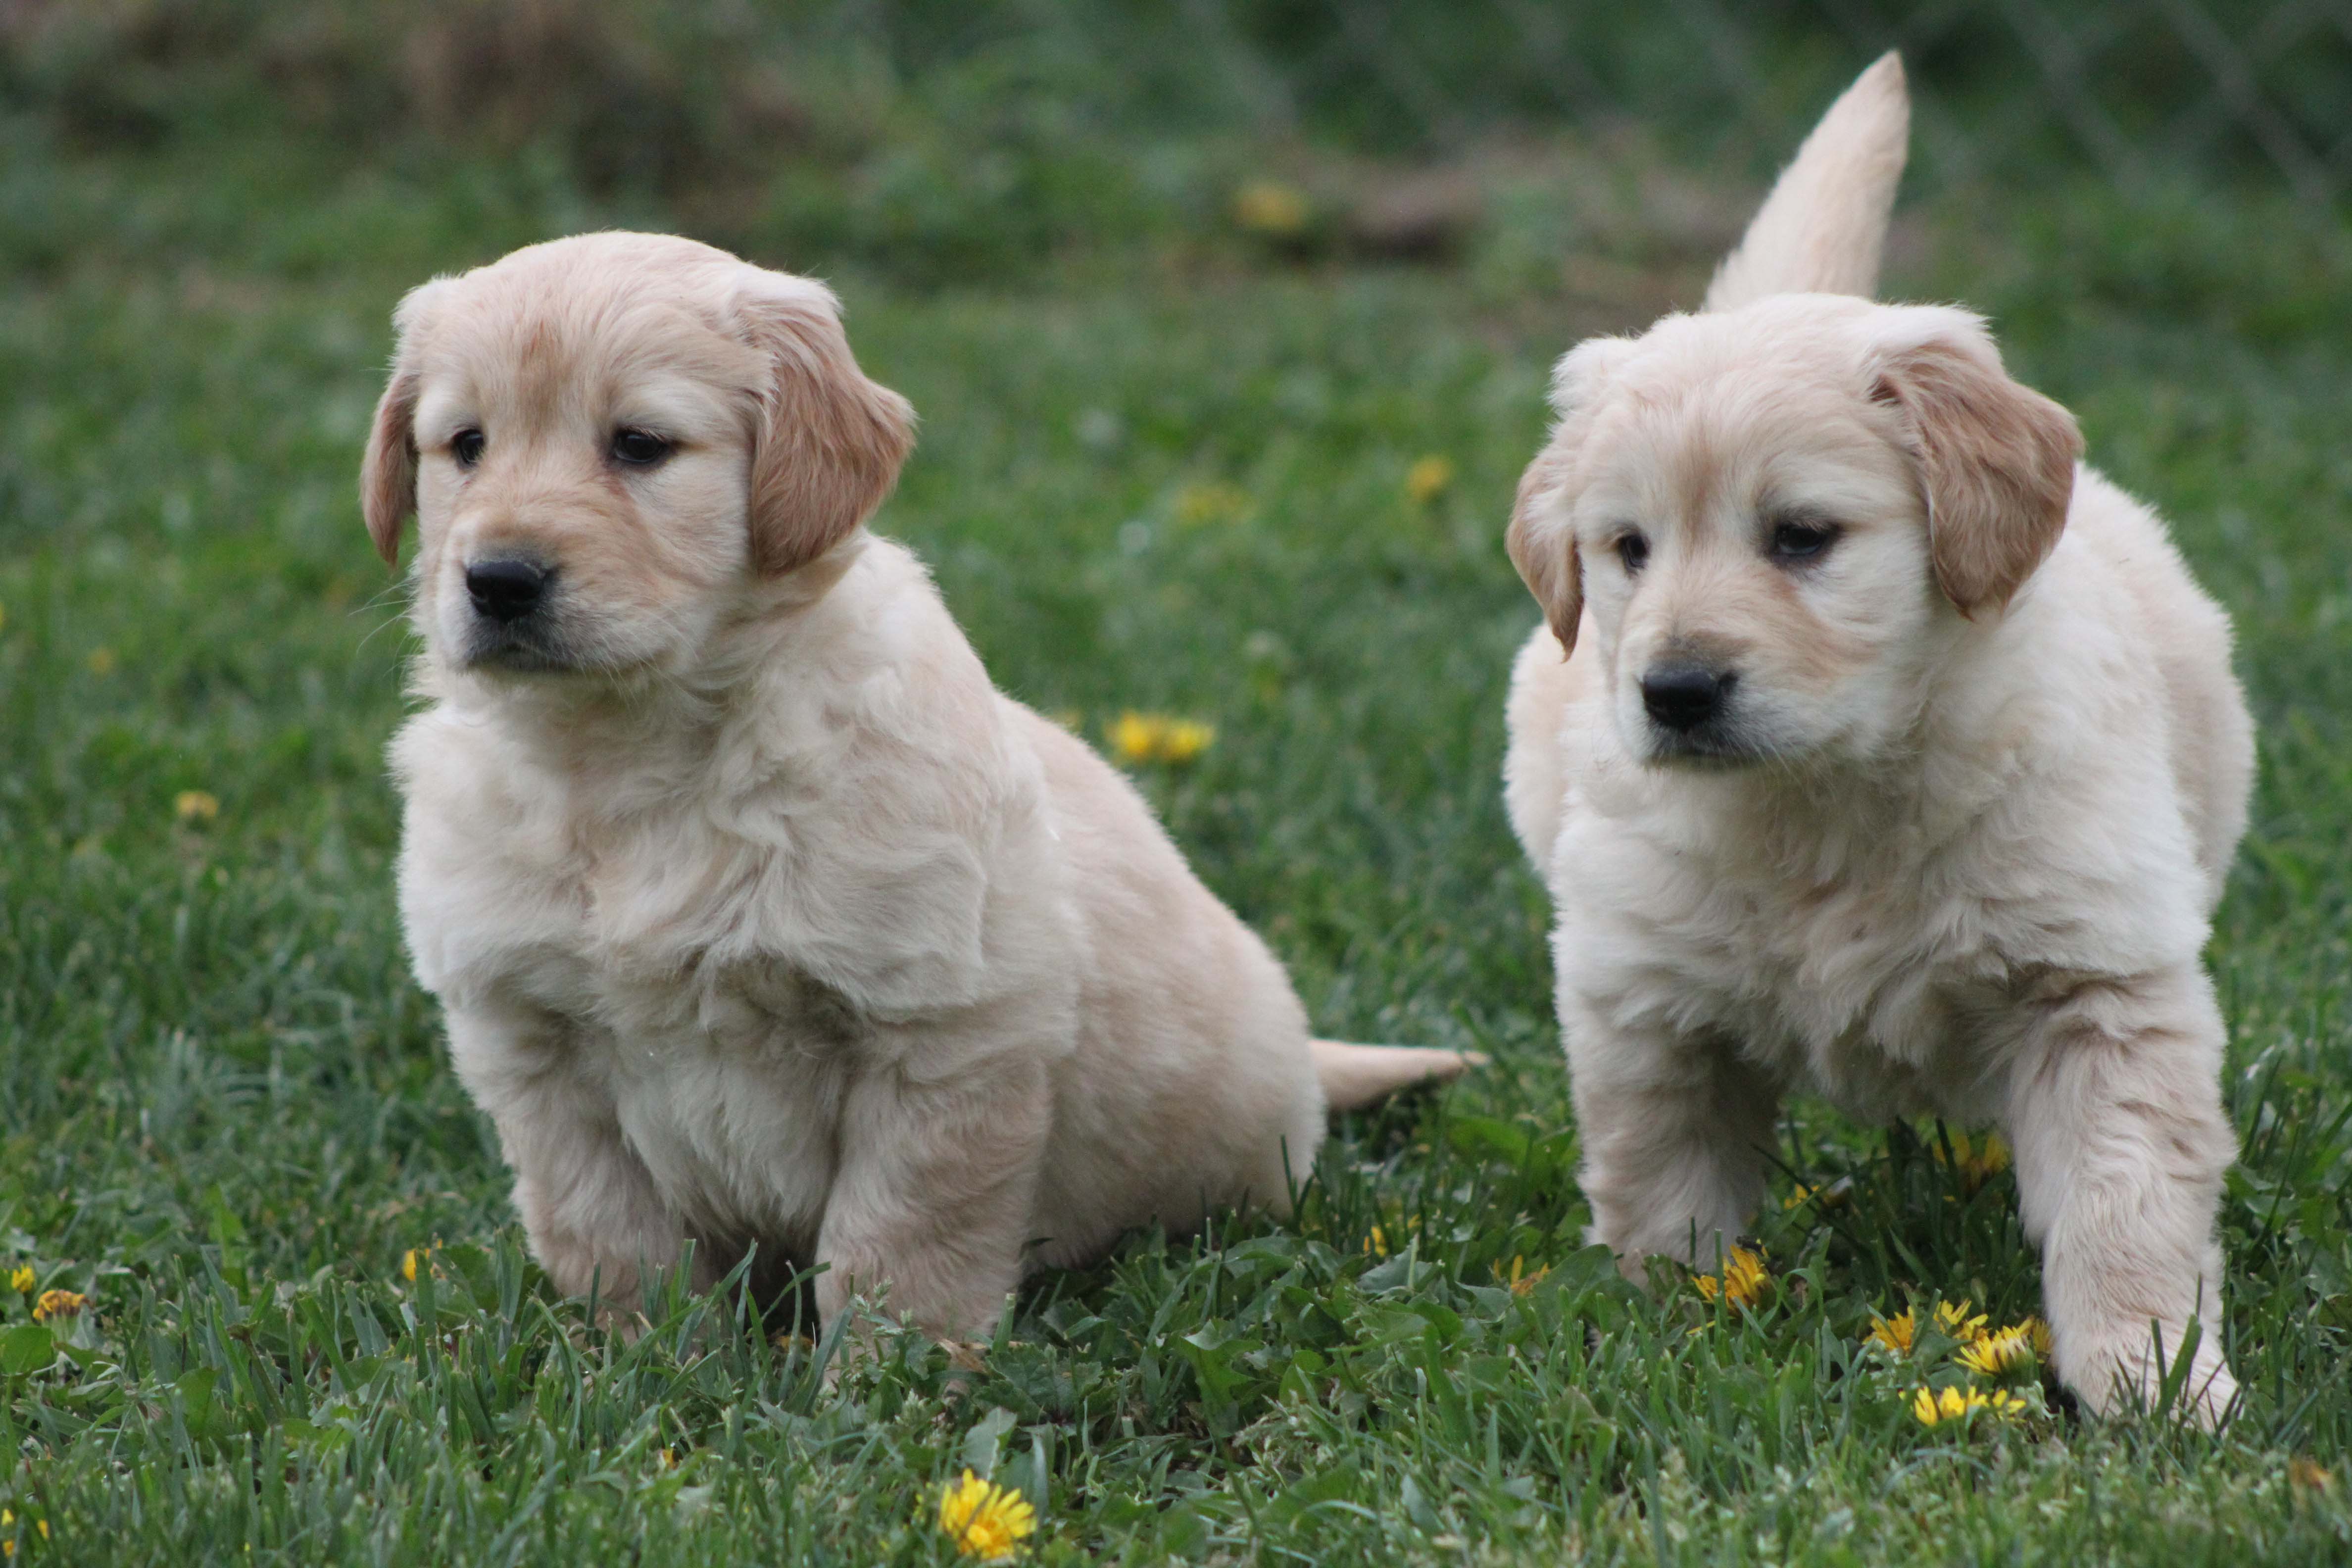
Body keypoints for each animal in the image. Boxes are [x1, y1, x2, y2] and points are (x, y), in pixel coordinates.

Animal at [362, 236, 1468, 1354]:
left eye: (639, 445)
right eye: (465, 445)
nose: (498, 579)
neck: (638, 752)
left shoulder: (944, 1032)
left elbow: (900, 1243)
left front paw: (887, 1383)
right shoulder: (531, 1045)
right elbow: (608, 1234)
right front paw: (644, 1361)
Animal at [1496, 55, 2248, 1420]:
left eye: (1801, 537)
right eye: (1626, 549)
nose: (1673, 689)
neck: (1827, 801)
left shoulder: (2093, 983)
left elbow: (2124, 1204)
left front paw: (2154, 1381)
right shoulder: (1643, 992)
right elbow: (1659, 1177)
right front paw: (1663, 1331)